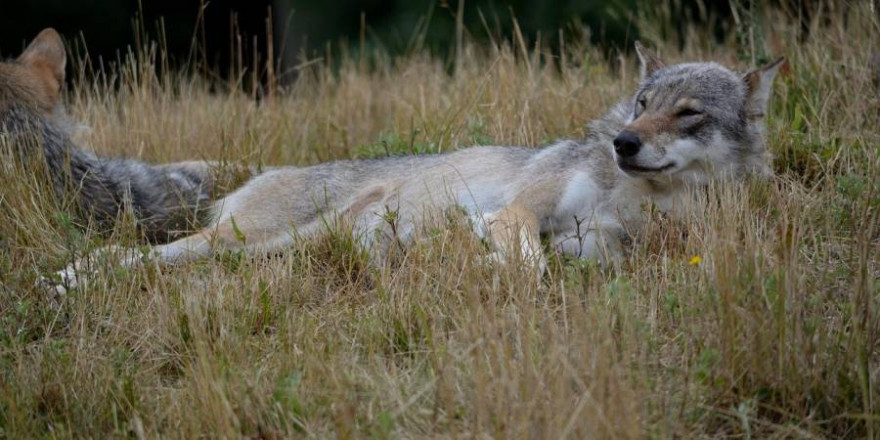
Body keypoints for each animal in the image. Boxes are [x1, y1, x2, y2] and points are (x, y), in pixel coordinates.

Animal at [39, 32, 784, 294]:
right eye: (641, 103)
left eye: (686, 114)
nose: (623, 143)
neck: (632, 198)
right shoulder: (518, 210)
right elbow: (526, 259)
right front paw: (496, 268)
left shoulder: (596, 249)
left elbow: (552, 262)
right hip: (240, 238)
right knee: (127, 256)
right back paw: (68, 280)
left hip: (267, 250)